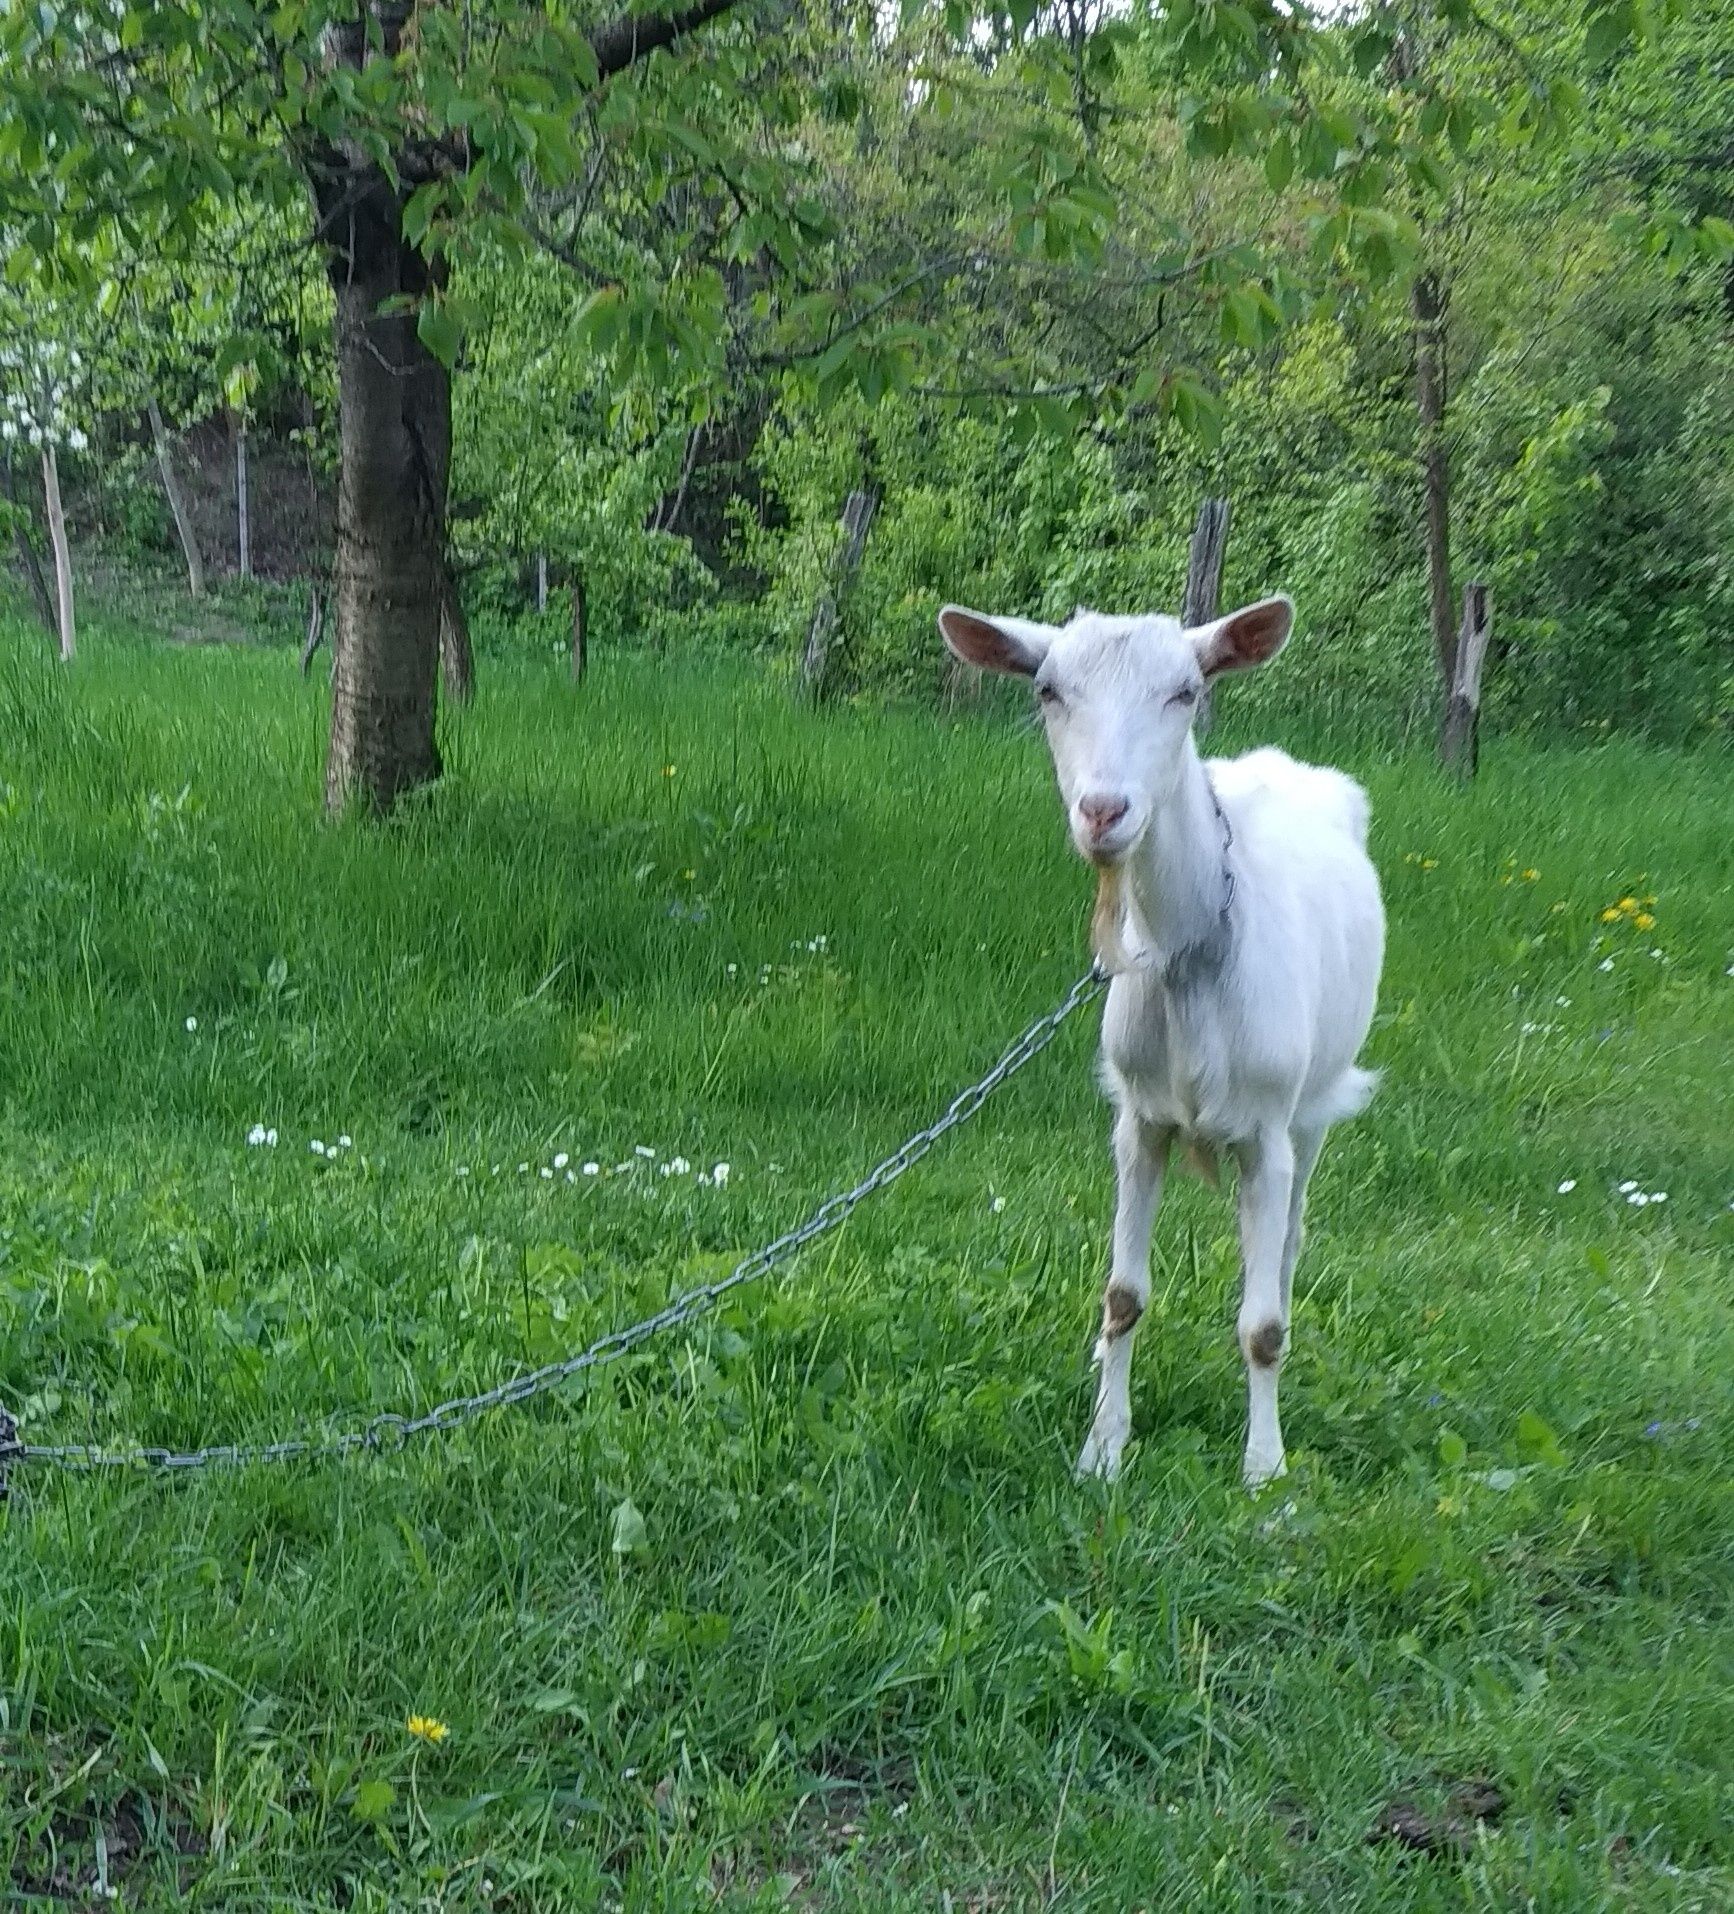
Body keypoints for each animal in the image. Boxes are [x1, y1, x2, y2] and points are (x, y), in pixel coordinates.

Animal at [933, 589, 1378, 1485]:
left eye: (1186, 691)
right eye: (1047, 690)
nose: (1104, 811)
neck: (1191, 959)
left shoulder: (1268, 1126)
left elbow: (1262, 1326)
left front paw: (1265, 1469)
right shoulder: (1138, 1121)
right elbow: (1123, 1295)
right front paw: (1102, 1448)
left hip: (1313, 1109)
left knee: (1287, 1243)